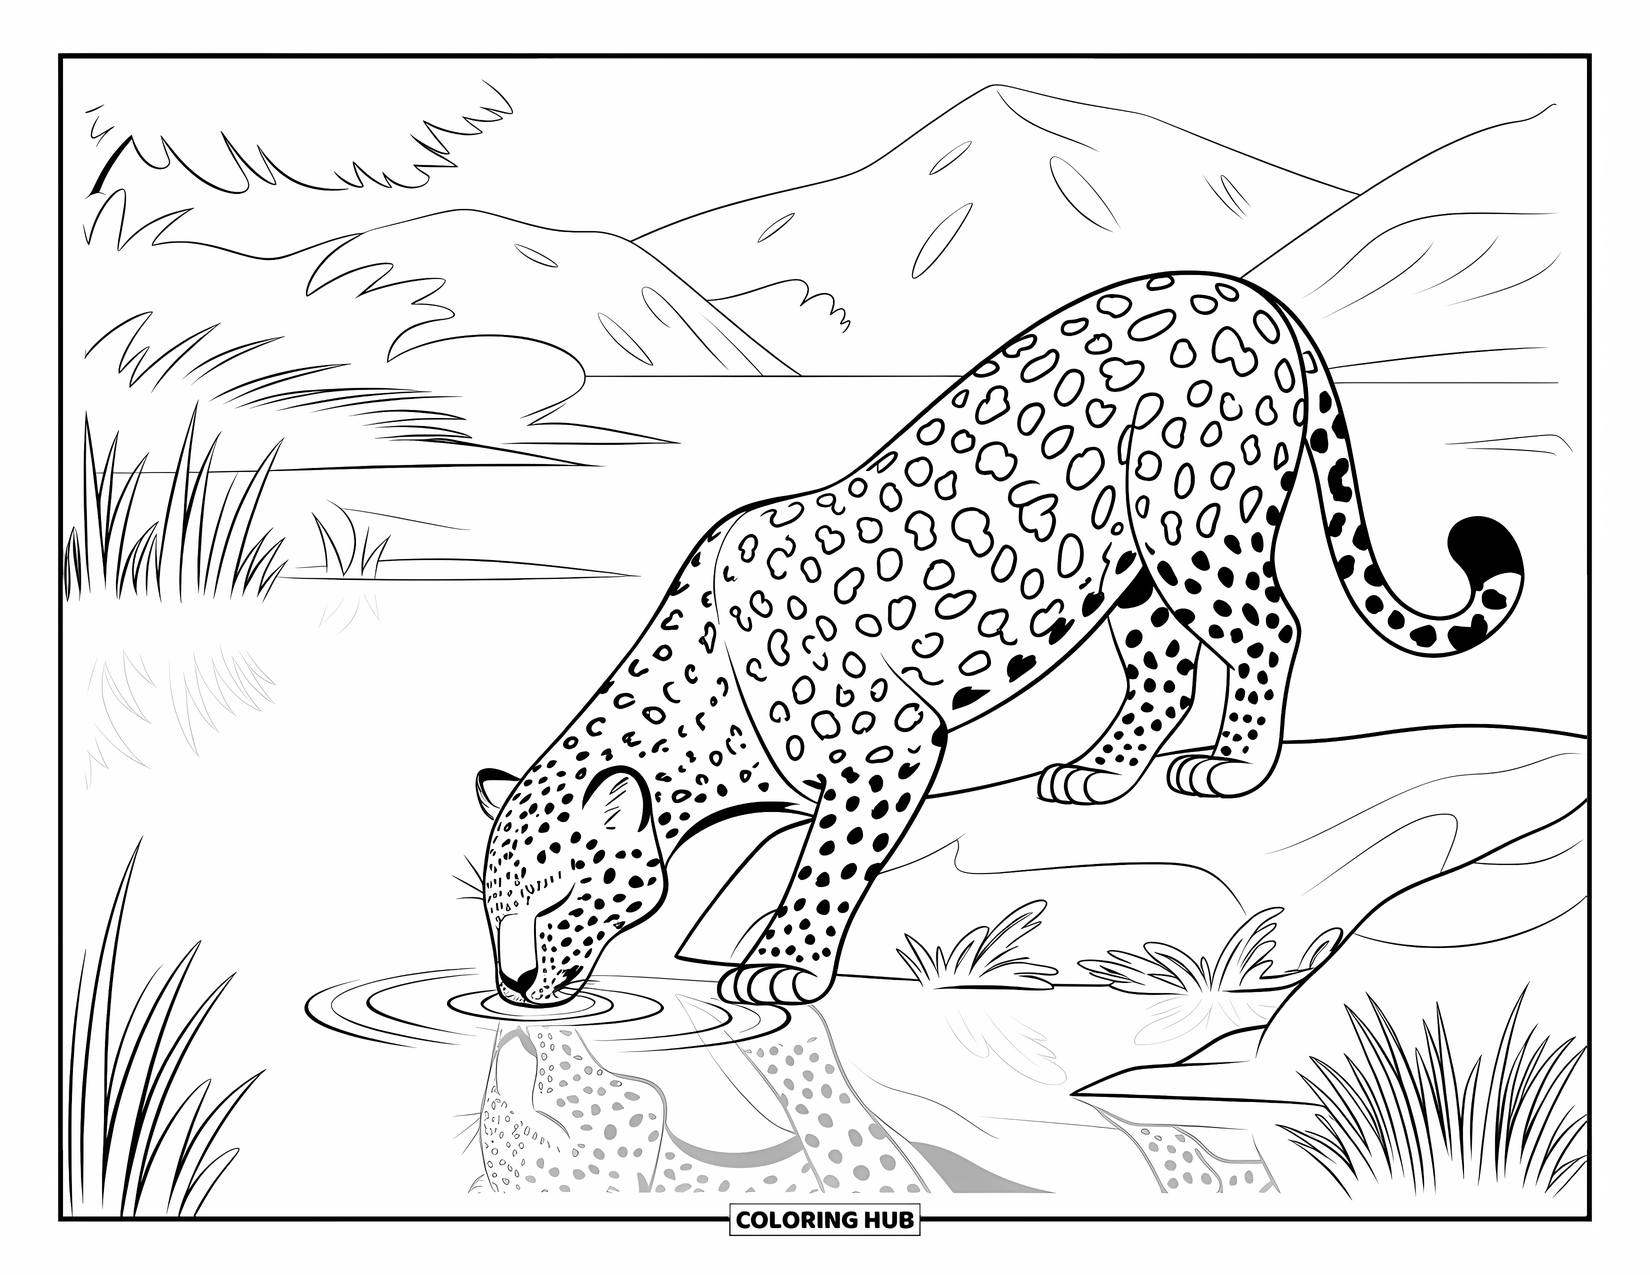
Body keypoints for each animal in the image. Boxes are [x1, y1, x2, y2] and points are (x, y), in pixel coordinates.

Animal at [478, 271, 1525, 1009]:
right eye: (493, 905)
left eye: (557, 897)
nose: (513, 986)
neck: (700, 728)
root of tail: (1263, 301)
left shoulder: (890, 748)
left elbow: (830, 864)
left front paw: (784, 964)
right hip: (1127, 563)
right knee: (1164, 667)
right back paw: (1096, 773)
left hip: (1192, 524)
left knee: (1273, 625)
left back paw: (1232, 763)